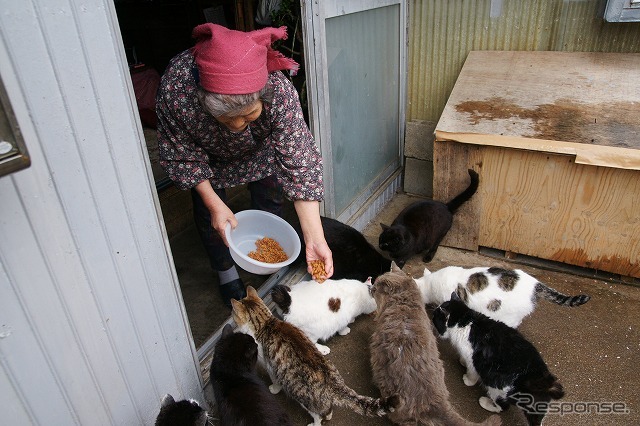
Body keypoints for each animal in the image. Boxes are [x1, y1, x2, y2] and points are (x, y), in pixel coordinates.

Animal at [230, 286, 400, 426]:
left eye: (233, 314)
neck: (265, 323)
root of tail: (332, 383)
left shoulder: (271, 366)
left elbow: (275, 381)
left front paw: (273, 388)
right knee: (327, 410)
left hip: (303, 397)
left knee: (319, 414)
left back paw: (314, 423)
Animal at [432, 292, 564, 426]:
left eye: (435, 318)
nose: (431, 317)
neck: (465, 320)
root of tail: (543, 382)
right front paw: (462, 362)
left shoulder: (473, 360)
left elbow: (472, 373)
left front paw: (468, 380)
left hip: (496, 388)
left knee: (502, 407)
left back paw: (485, 402)